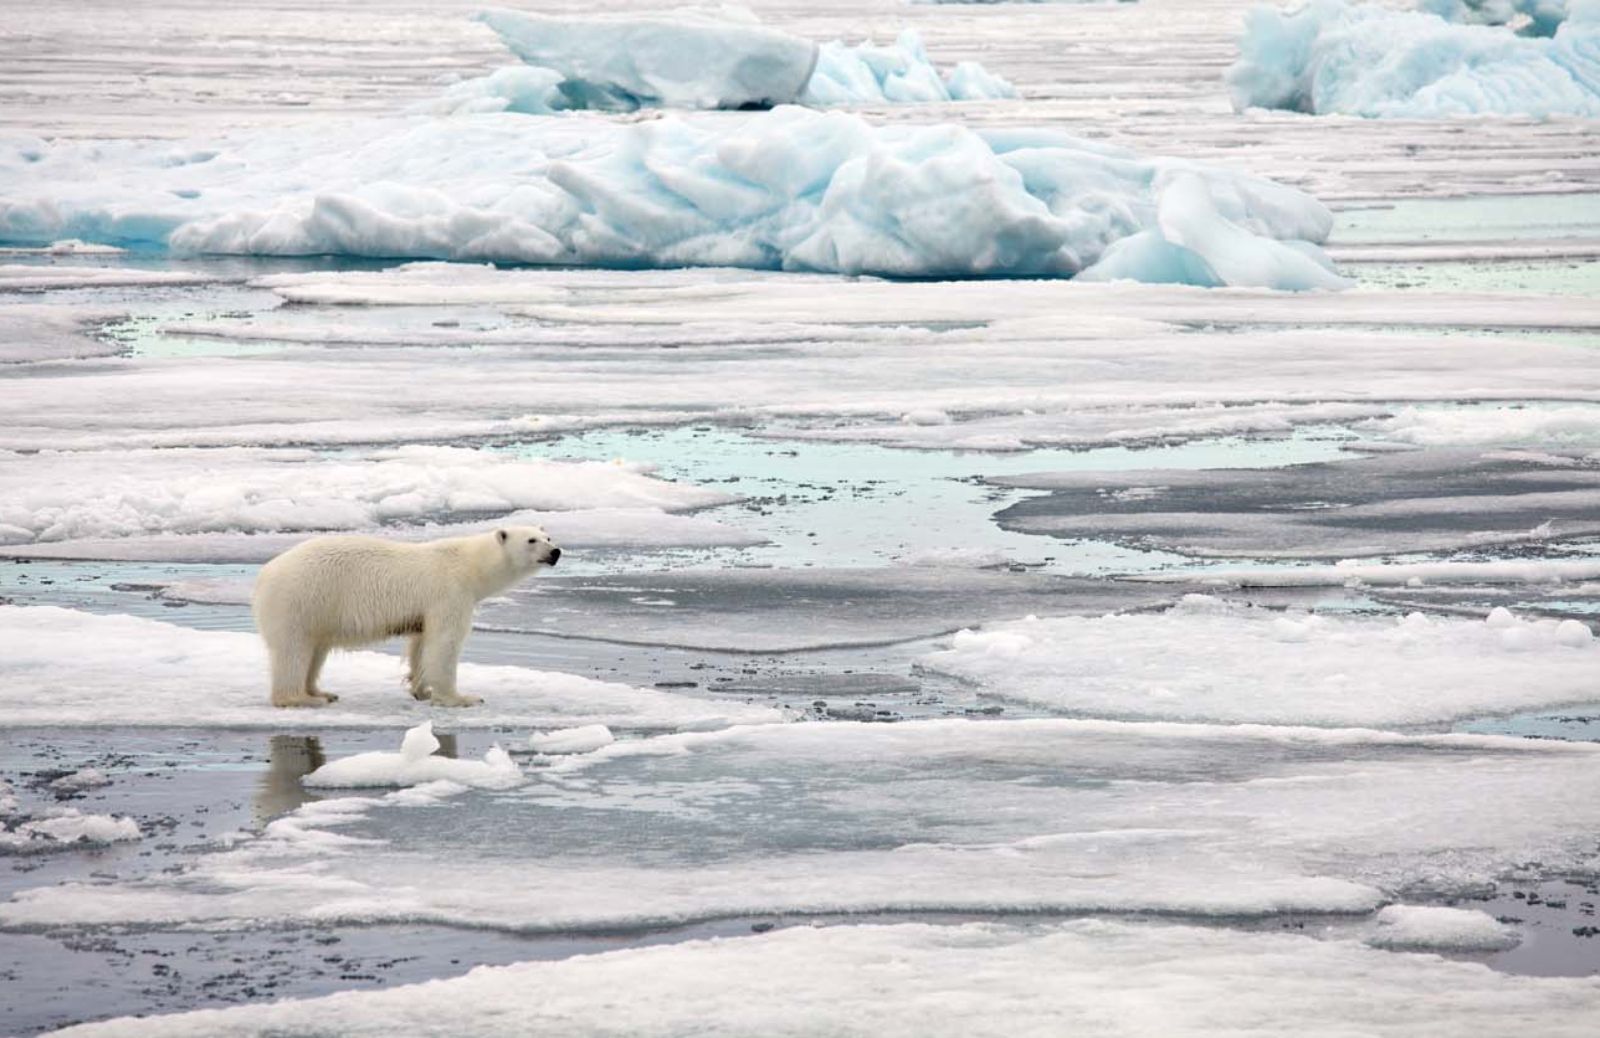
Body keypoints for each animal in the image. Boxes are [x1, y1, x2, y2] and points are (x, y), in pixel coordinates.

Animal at [251, 527, 563, 703]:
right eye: (531, 540)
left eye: (548, 537)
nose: (556, 551)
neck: (470, 566)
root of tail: (265, 574)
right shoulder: (450, 593)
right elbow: (445, 643)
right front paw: (461, 697)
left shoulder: (427, 608)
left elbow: (421, 643)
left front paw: (421, 690)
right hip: (302, 598)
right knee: (293, 650)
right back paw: (300, 698)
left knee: (316, 650)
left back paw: (320, 692)